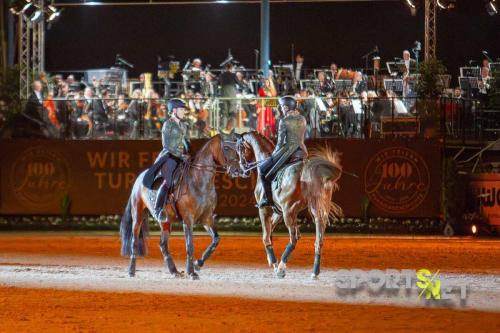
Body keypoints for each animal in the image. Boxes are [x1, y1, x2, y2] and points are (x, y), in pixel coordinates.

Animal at [119, 134, 240, 278]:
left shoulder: (206, 218)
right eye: (226, 148)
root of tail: (139, 178)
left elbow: (215, 240)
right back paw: (131, 271)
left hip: (166, 221)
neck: (199, 181)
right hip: (138, 215)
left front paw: (198, 264)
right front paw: (191, 272)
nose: (238, 170)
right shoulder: (188, 219)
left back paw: (174, 271)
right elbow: (190, 245)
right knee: (134, 240)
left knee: (163, 244)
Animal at [235, 131, 344, 278]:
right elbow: (270, 230)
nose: (243, 169)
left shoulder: (265, 210)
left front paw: (274, 263)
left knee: (294, 237)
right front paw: (271, 260)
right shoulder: (279, 212)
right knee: (318, 239)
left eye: (239, 149)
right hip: (315, 210)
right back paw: (315, 272)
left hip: (289, 212)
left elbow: (265, 236)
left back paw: (281, 268)